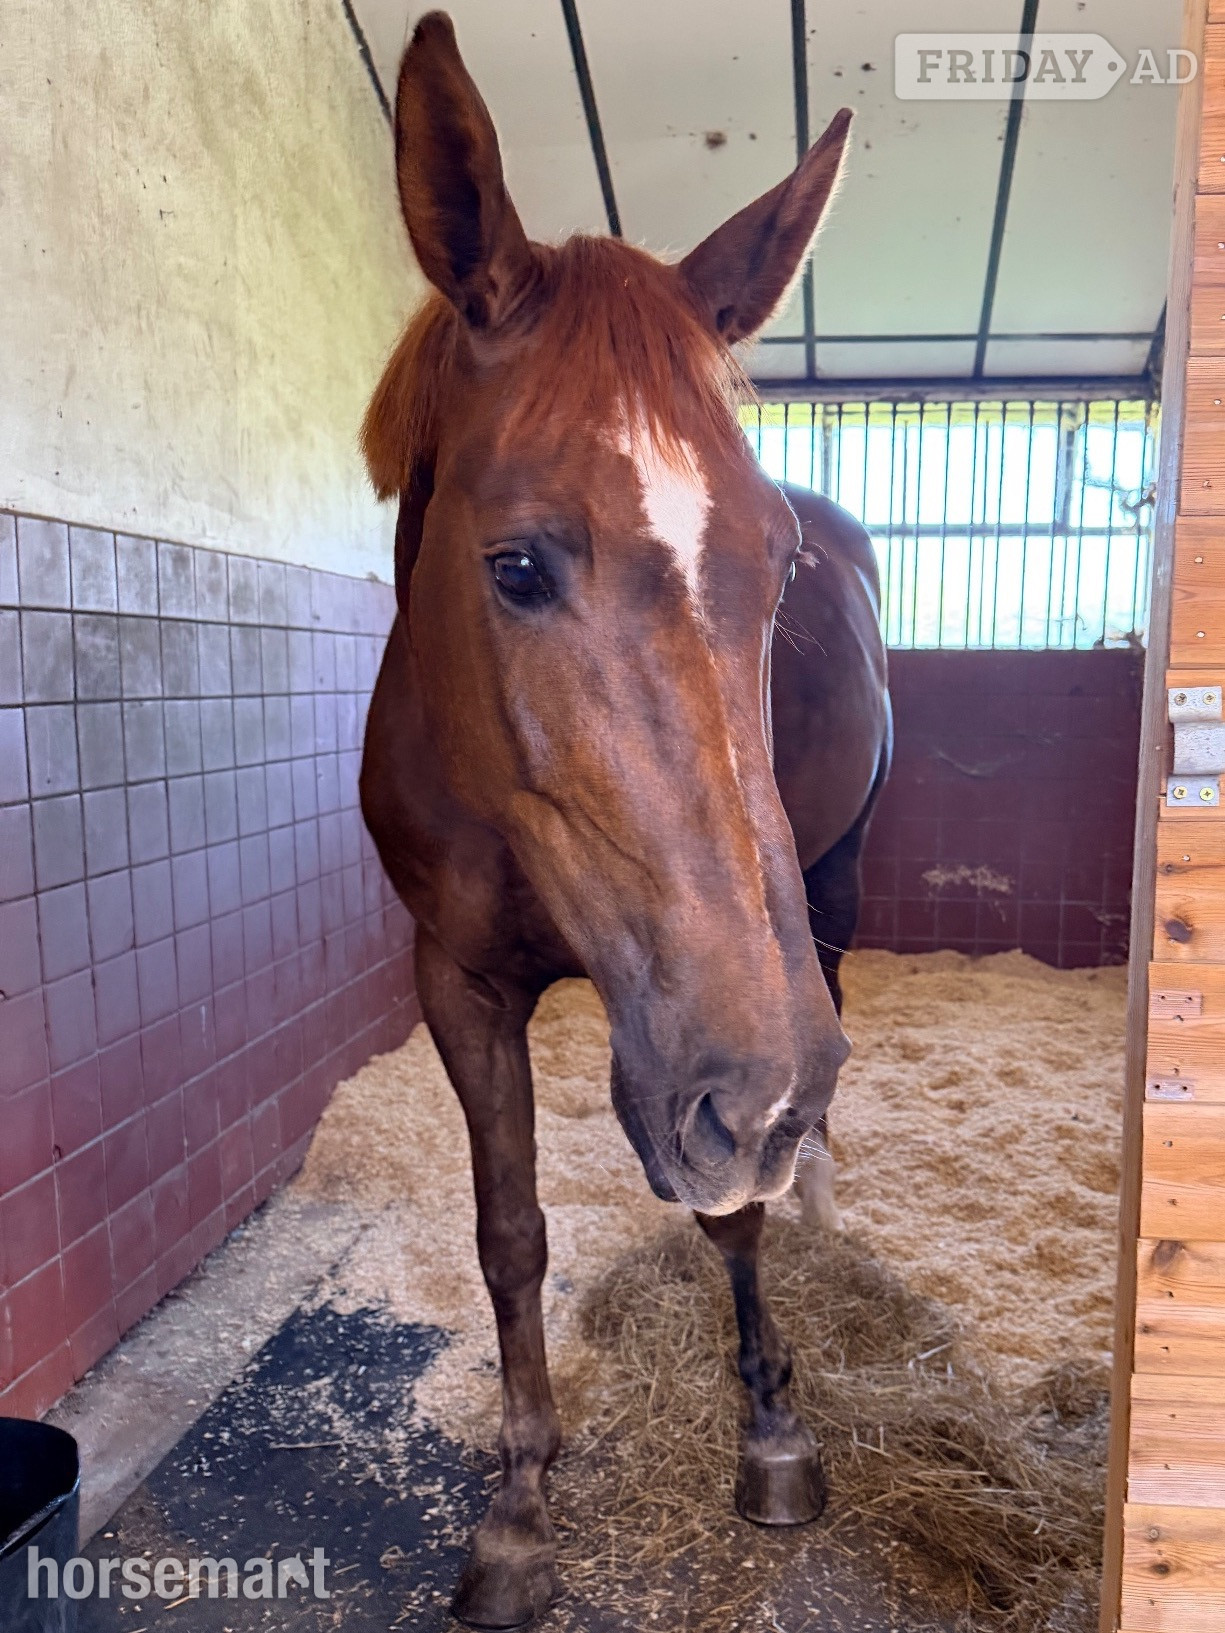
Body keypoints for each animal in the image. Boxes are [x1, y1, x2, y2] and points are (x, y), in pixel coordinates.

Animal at [358, 14, 891, 1626]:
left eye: (775, 568)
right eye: (517, 564)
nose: (769, 1100)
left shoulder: (725, 1035)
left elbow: (733, 1216)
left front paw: (772, 1425)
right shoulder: (458, 982)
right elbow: (509, 1232)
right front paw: (520, 1504)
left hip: (834, 877)